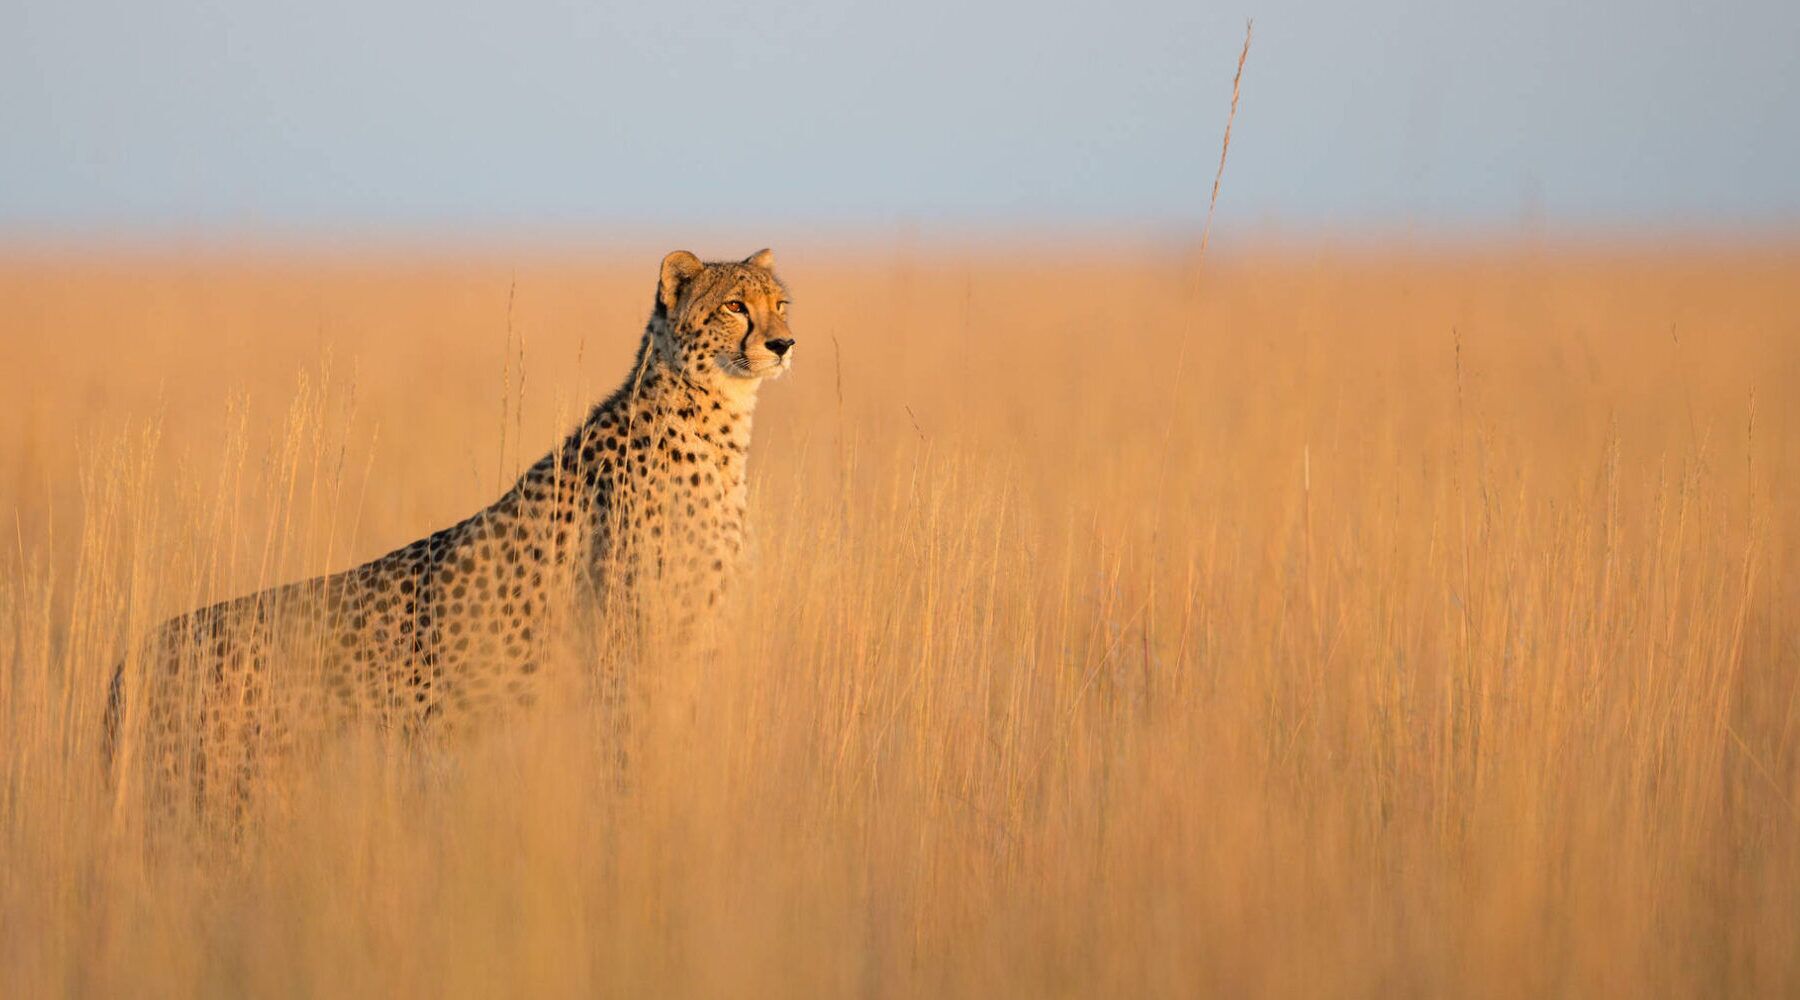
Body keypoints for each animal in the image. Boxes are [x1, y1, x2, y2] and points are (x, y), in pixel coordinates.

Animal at [103, 246, 795, 816]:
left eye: (780, 303)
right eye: (735, 306)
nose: (785, 343)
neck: (716, 417)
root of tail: (144, 647)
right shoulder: (633, 651)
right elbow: (636, 762)